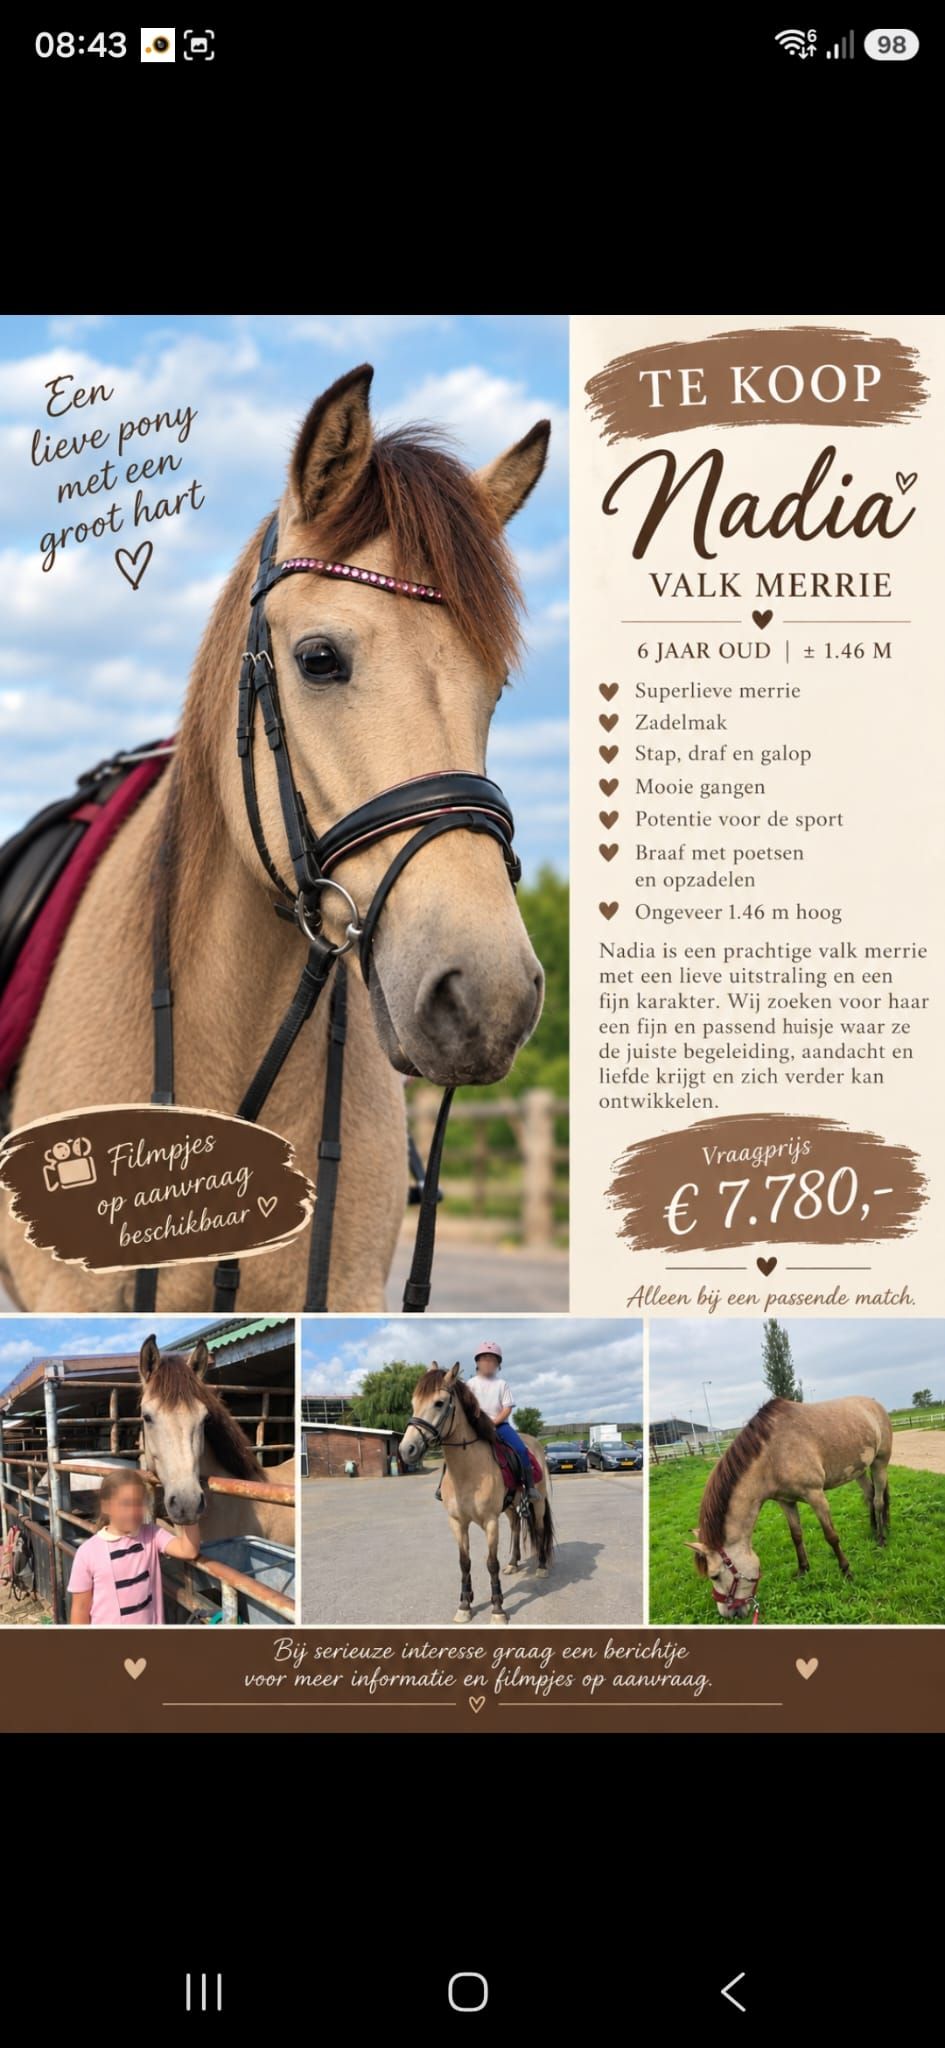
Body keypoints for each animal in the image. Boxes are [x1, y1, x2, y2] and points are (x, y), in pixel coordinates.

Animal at [399, 1362, 554, 1625]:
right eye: (413, 1402)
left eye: (439, 1403)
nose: (406, 1450)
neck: (468, 1471)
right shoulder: (457, 1522)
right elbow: (464, 1562)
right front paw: (464, 1604)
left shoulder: (490, 1521)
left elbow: (491, 1563)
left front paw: (498, 1609)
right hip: (510, 1505)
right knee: (515, 1526)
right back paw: (513, 1563)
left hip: (539, 1501)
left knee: (541, 1529)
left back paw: (542, 1568)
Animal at [688, 1394, 893, 1619]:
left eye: (714, 1576)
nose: (726, 1614)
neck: (773, 1455)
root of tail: (874, 1404)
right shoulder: (786, 1502)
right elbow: (796, 1536)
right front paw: (803, 1570)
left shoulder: (816, 1495)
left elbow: (831, 1536)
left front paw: (846, 1570)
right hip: (860, 1470)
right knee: (870, 1496)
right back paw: (875, 1528)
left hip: (879, 1463)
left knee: (878, 1501)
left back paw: (881, 1538)